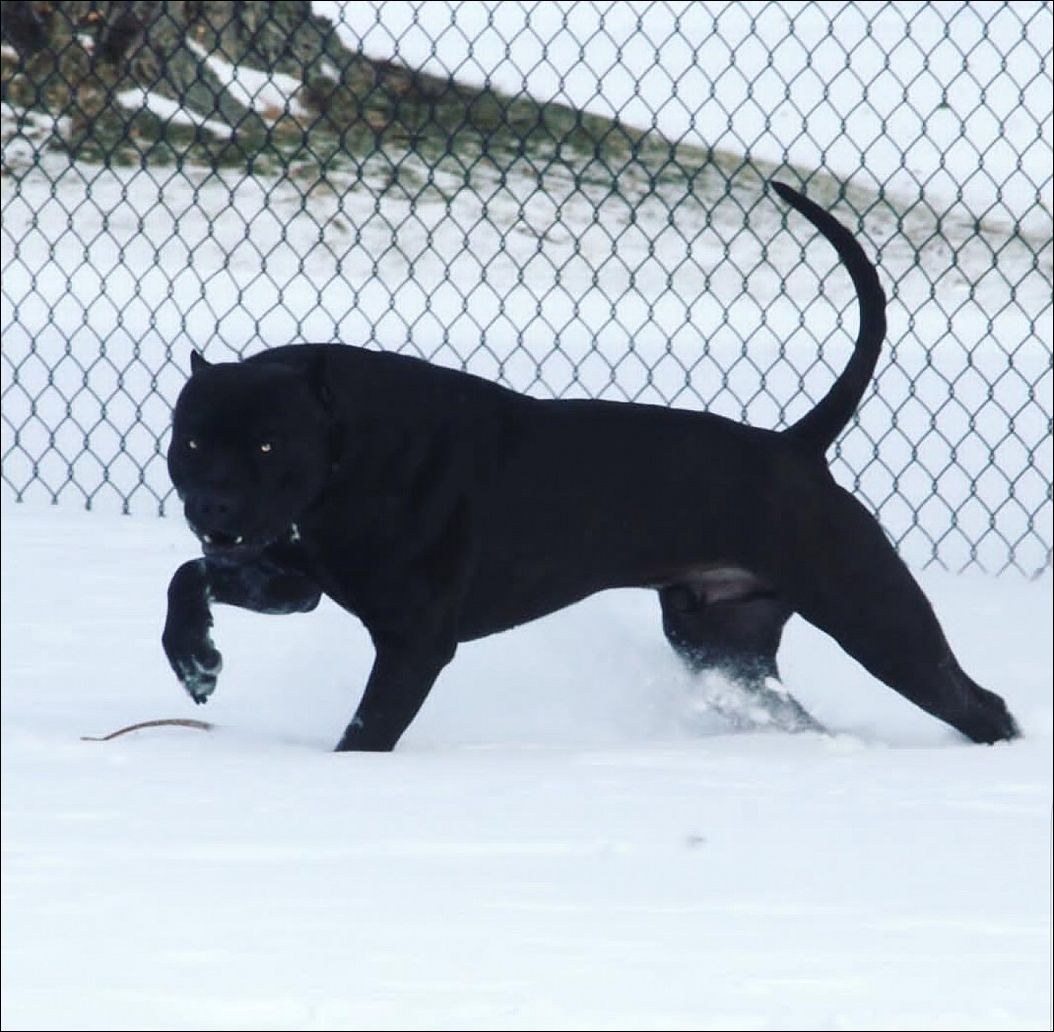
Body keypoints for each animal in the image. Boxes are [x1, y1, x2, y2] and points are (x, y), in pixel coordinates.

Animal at [162, 182, 1020, 750]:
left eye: (269, 446)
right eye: (193, 442)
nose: (214, 507)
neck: (350, 451)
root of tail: (796, 445)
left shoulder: (414, 639)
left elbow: (367, 730)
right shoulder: (294, 579)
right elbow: (186, 574)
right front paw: (196, 658)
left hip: (877, 619)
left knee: (979, 703)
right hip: (722, 644)